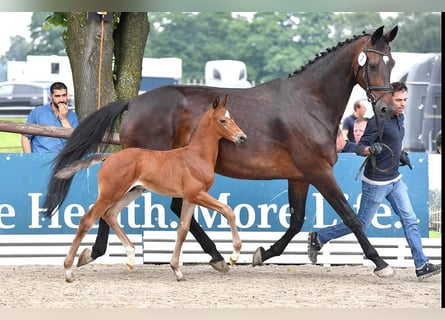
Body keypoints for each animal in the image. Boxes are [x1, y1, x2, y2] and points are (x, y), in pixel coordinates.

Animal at [45, 25, 398, 278]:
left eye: (392, 62)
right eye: (373, 63)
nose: (386, 109)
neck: (308, 102)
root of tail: (135, 101)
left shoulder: (300, 176)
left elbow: (297, 221)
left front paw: (261, 253)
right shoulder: (319, 171)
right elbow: (351, 217)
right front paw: (381, 263)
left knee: (169, 208)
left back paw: (214, 257)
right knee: (118, 206)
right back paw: (94, 252)